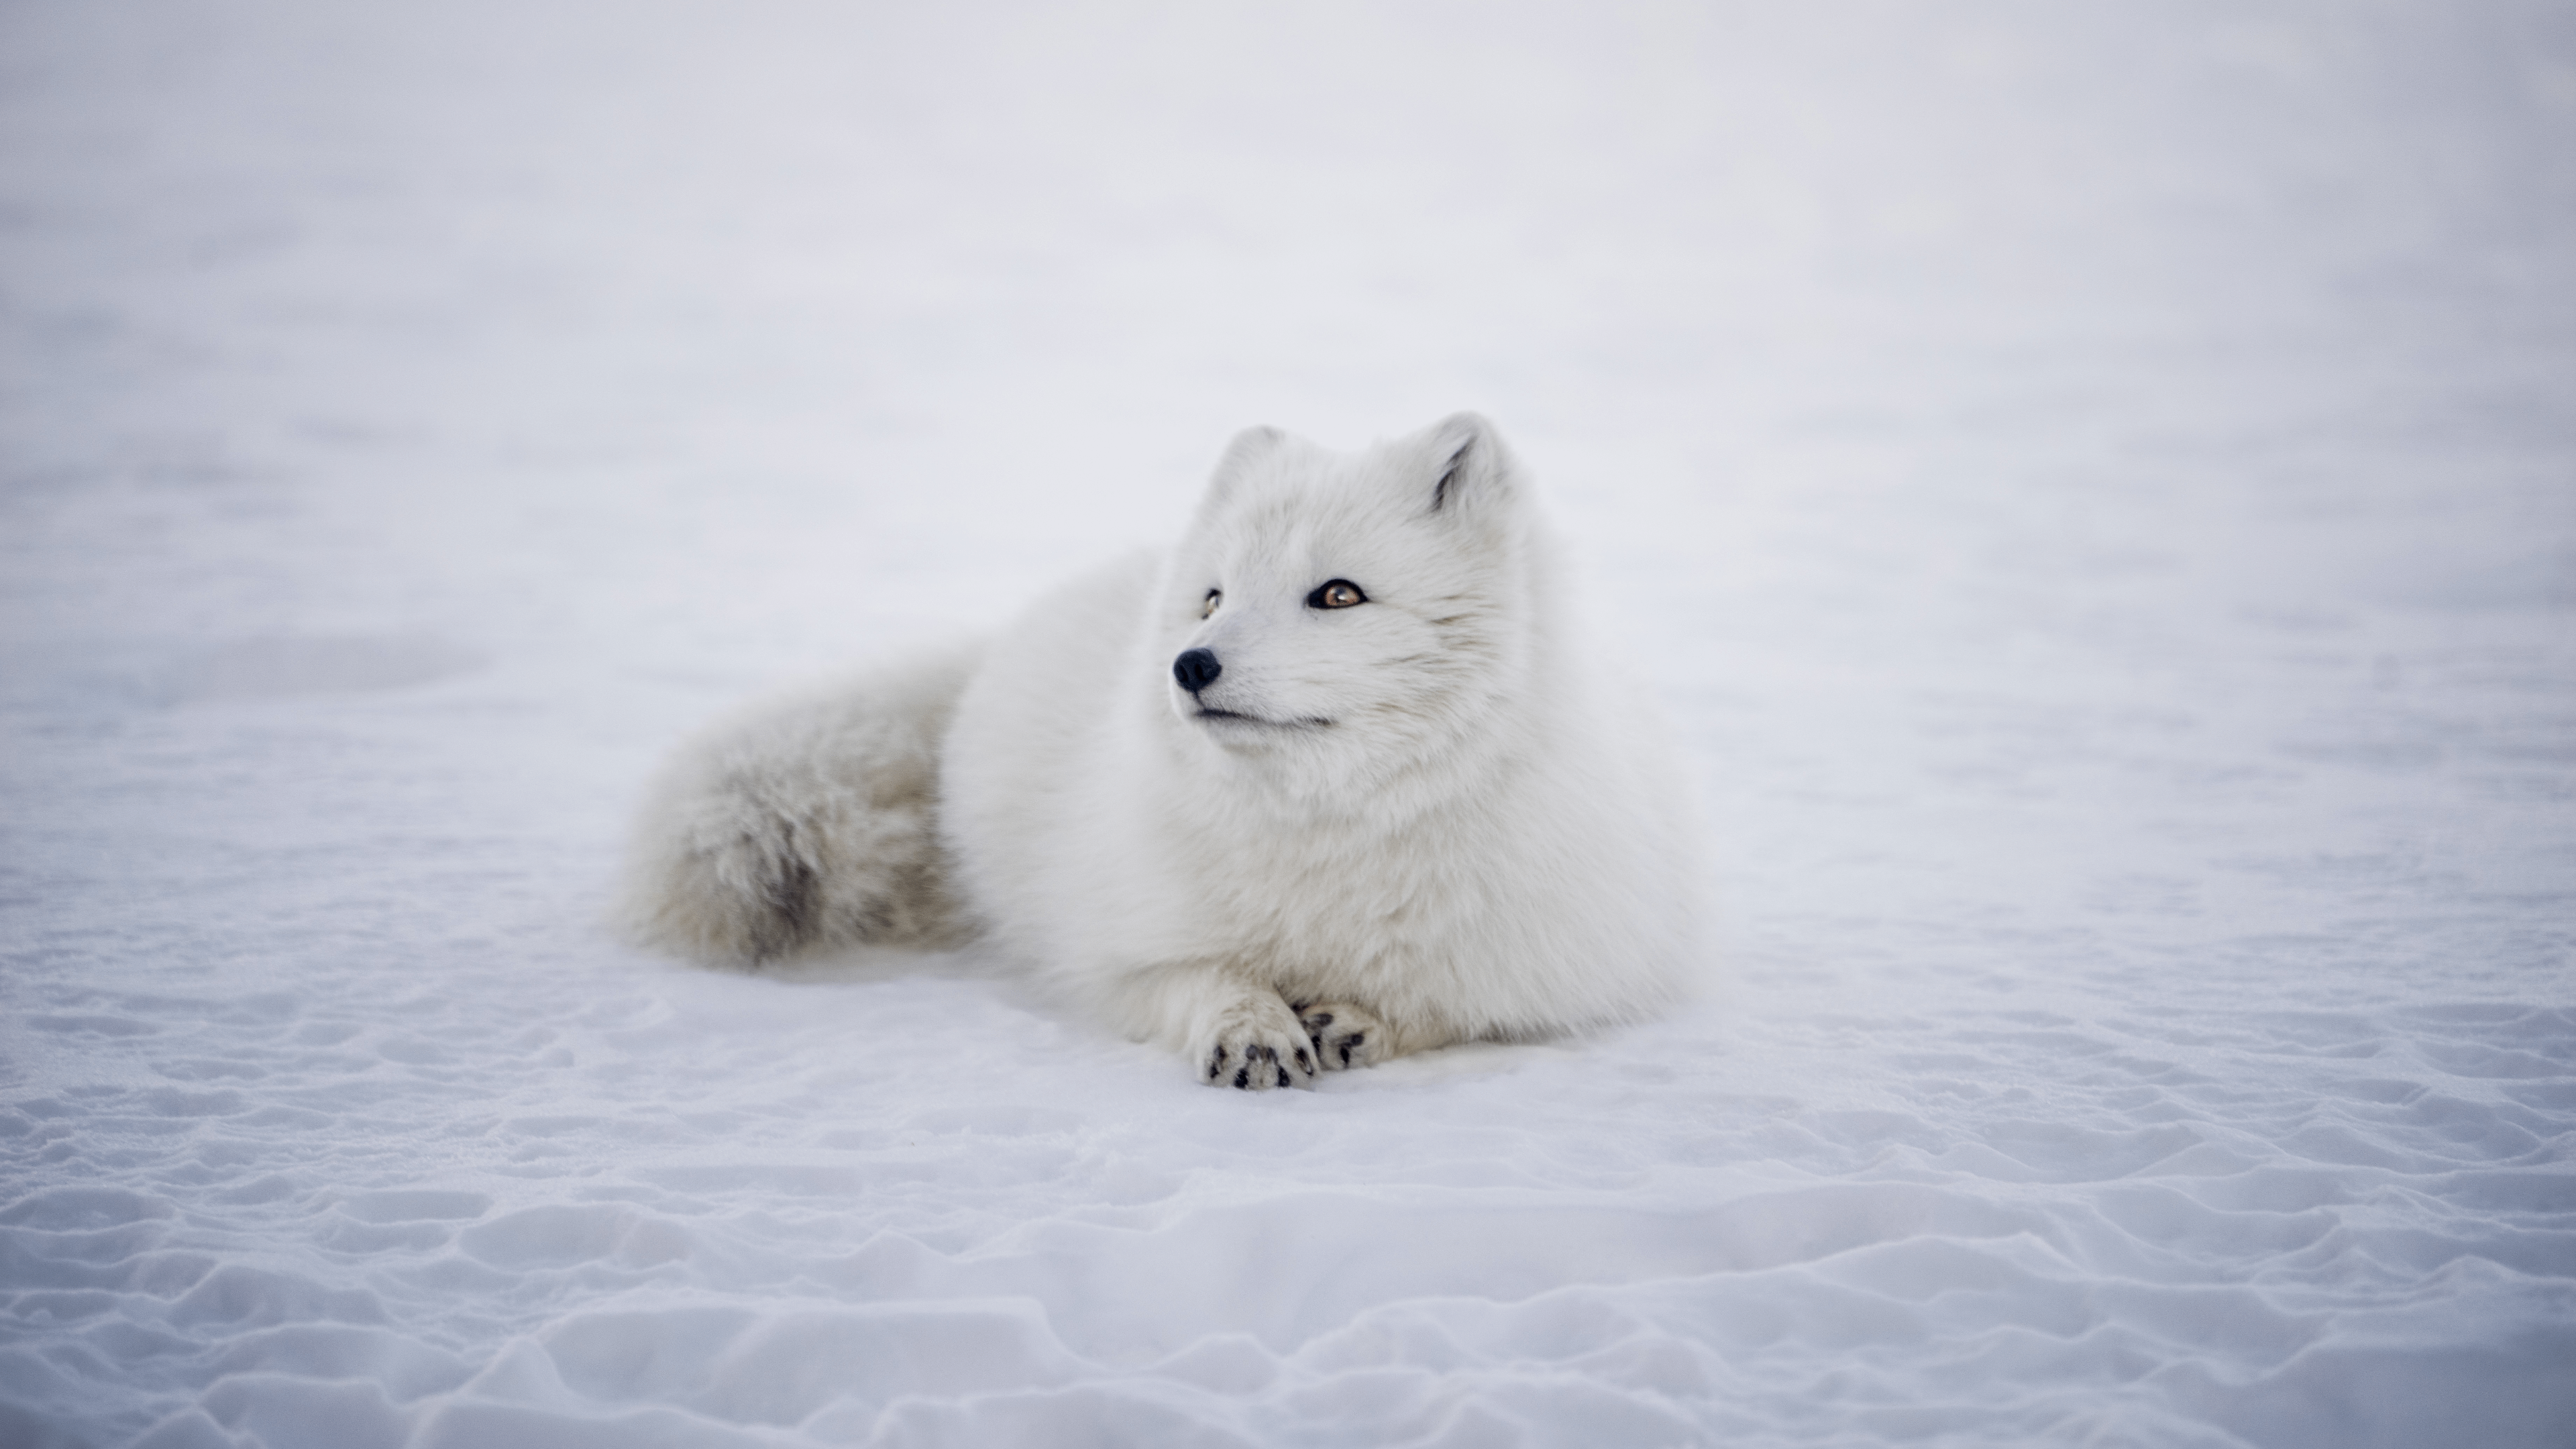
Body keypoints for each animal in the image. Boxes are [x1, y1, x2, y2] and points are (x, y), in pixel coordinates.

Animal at [624, 413, 1701, 1088]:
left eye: (1339, 595)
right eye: (1214, 597)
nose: (1189, 664)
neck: (1330, 834)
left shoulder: (1566, 966)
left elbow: (1460, 1005)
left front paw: (1362, 1019)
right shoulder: (1115, 950)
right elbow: (1198, 976)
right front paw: (1251, 1026)